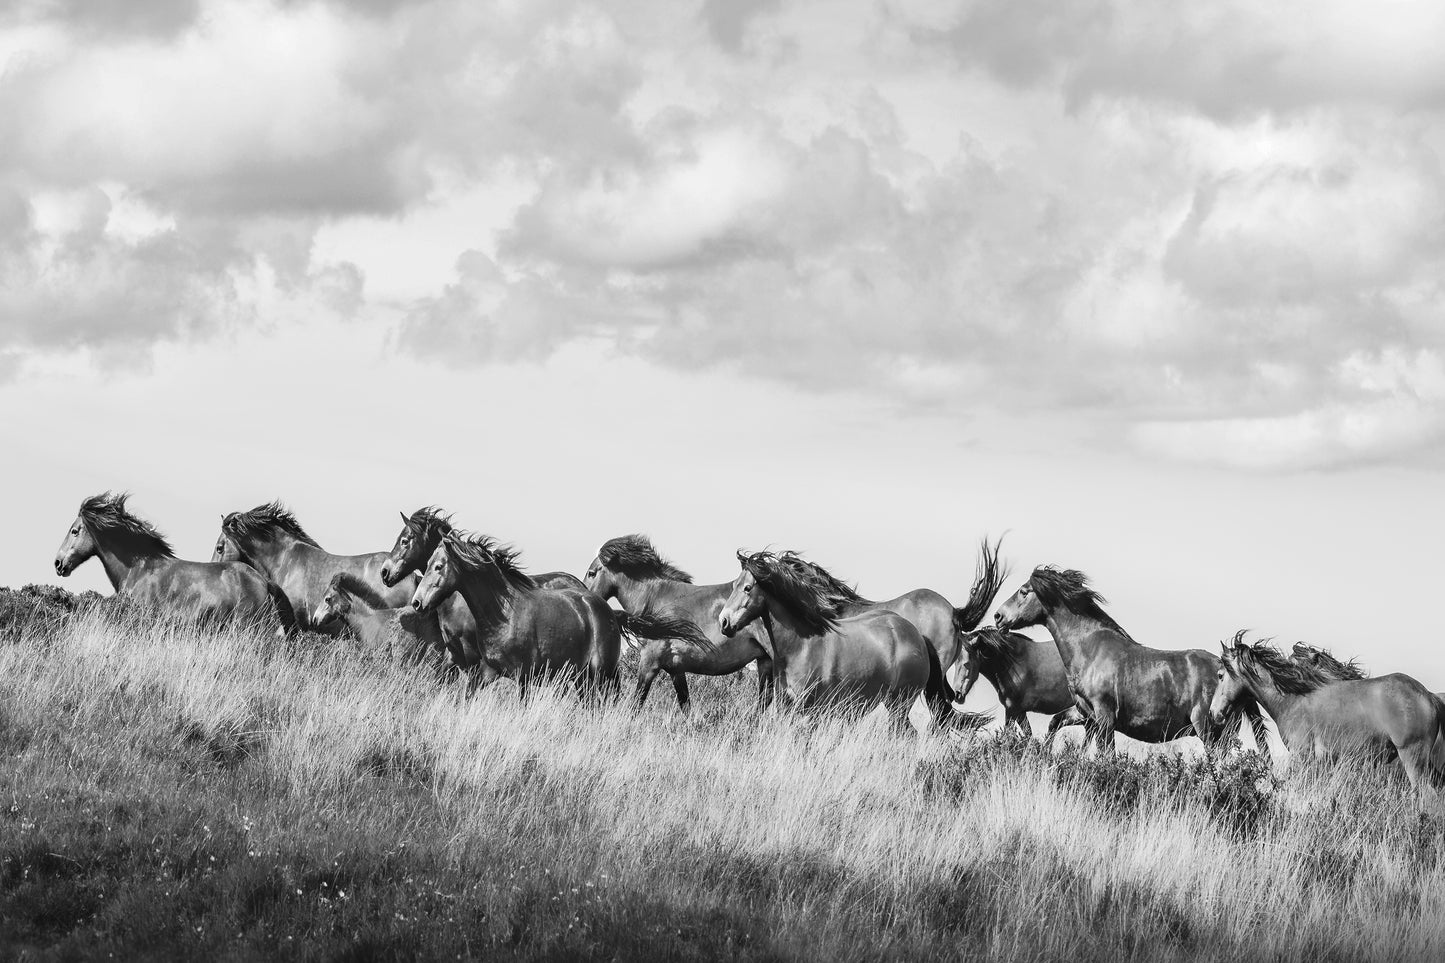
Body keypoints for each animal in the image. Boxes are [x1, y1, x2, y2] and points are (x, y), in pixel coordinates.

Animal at [410, 531, 705, 699]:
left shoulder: (524, 677)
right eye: (428, 564)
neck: (504, 614)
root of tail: (609, 611)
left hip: (599, 674)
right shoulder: (486, 672)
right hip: (580, 678)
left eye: (439, 566)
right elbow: (467, 697)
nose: (417, 602)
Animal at [585, 534, 779, 710]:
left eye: (592, 573)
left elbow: (637, 702)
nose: (585, 596)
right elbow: (685, 704)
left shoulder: (649, 662)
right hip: (764, 660)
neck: (655, 599)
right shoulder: (676, 670)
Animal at [715, 550, 983, 731]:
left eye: (748, 588)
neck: (800, 645)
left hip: (900, 703)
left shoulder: (813, 710)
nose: (724, 622)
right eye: (734, 585)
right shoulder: (786, 706)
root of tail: (917, 636)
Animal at [994, 566, 1265, 754]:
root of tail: (1231, 670)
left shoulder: (1104, 717)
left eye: (1023, 592)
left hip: (1209, 730)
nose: (998, 617)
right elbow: (1055, 723)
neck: (1090, 649)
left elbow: (1106, 755)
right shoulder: (1085, 713)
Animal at [1212, 633, 1445, 794]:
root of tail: (1429, 696)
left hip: (1413, 758)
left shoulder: (1303, 757)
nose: (1215, 713)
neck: (1294, 699)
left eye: (1220, 675)